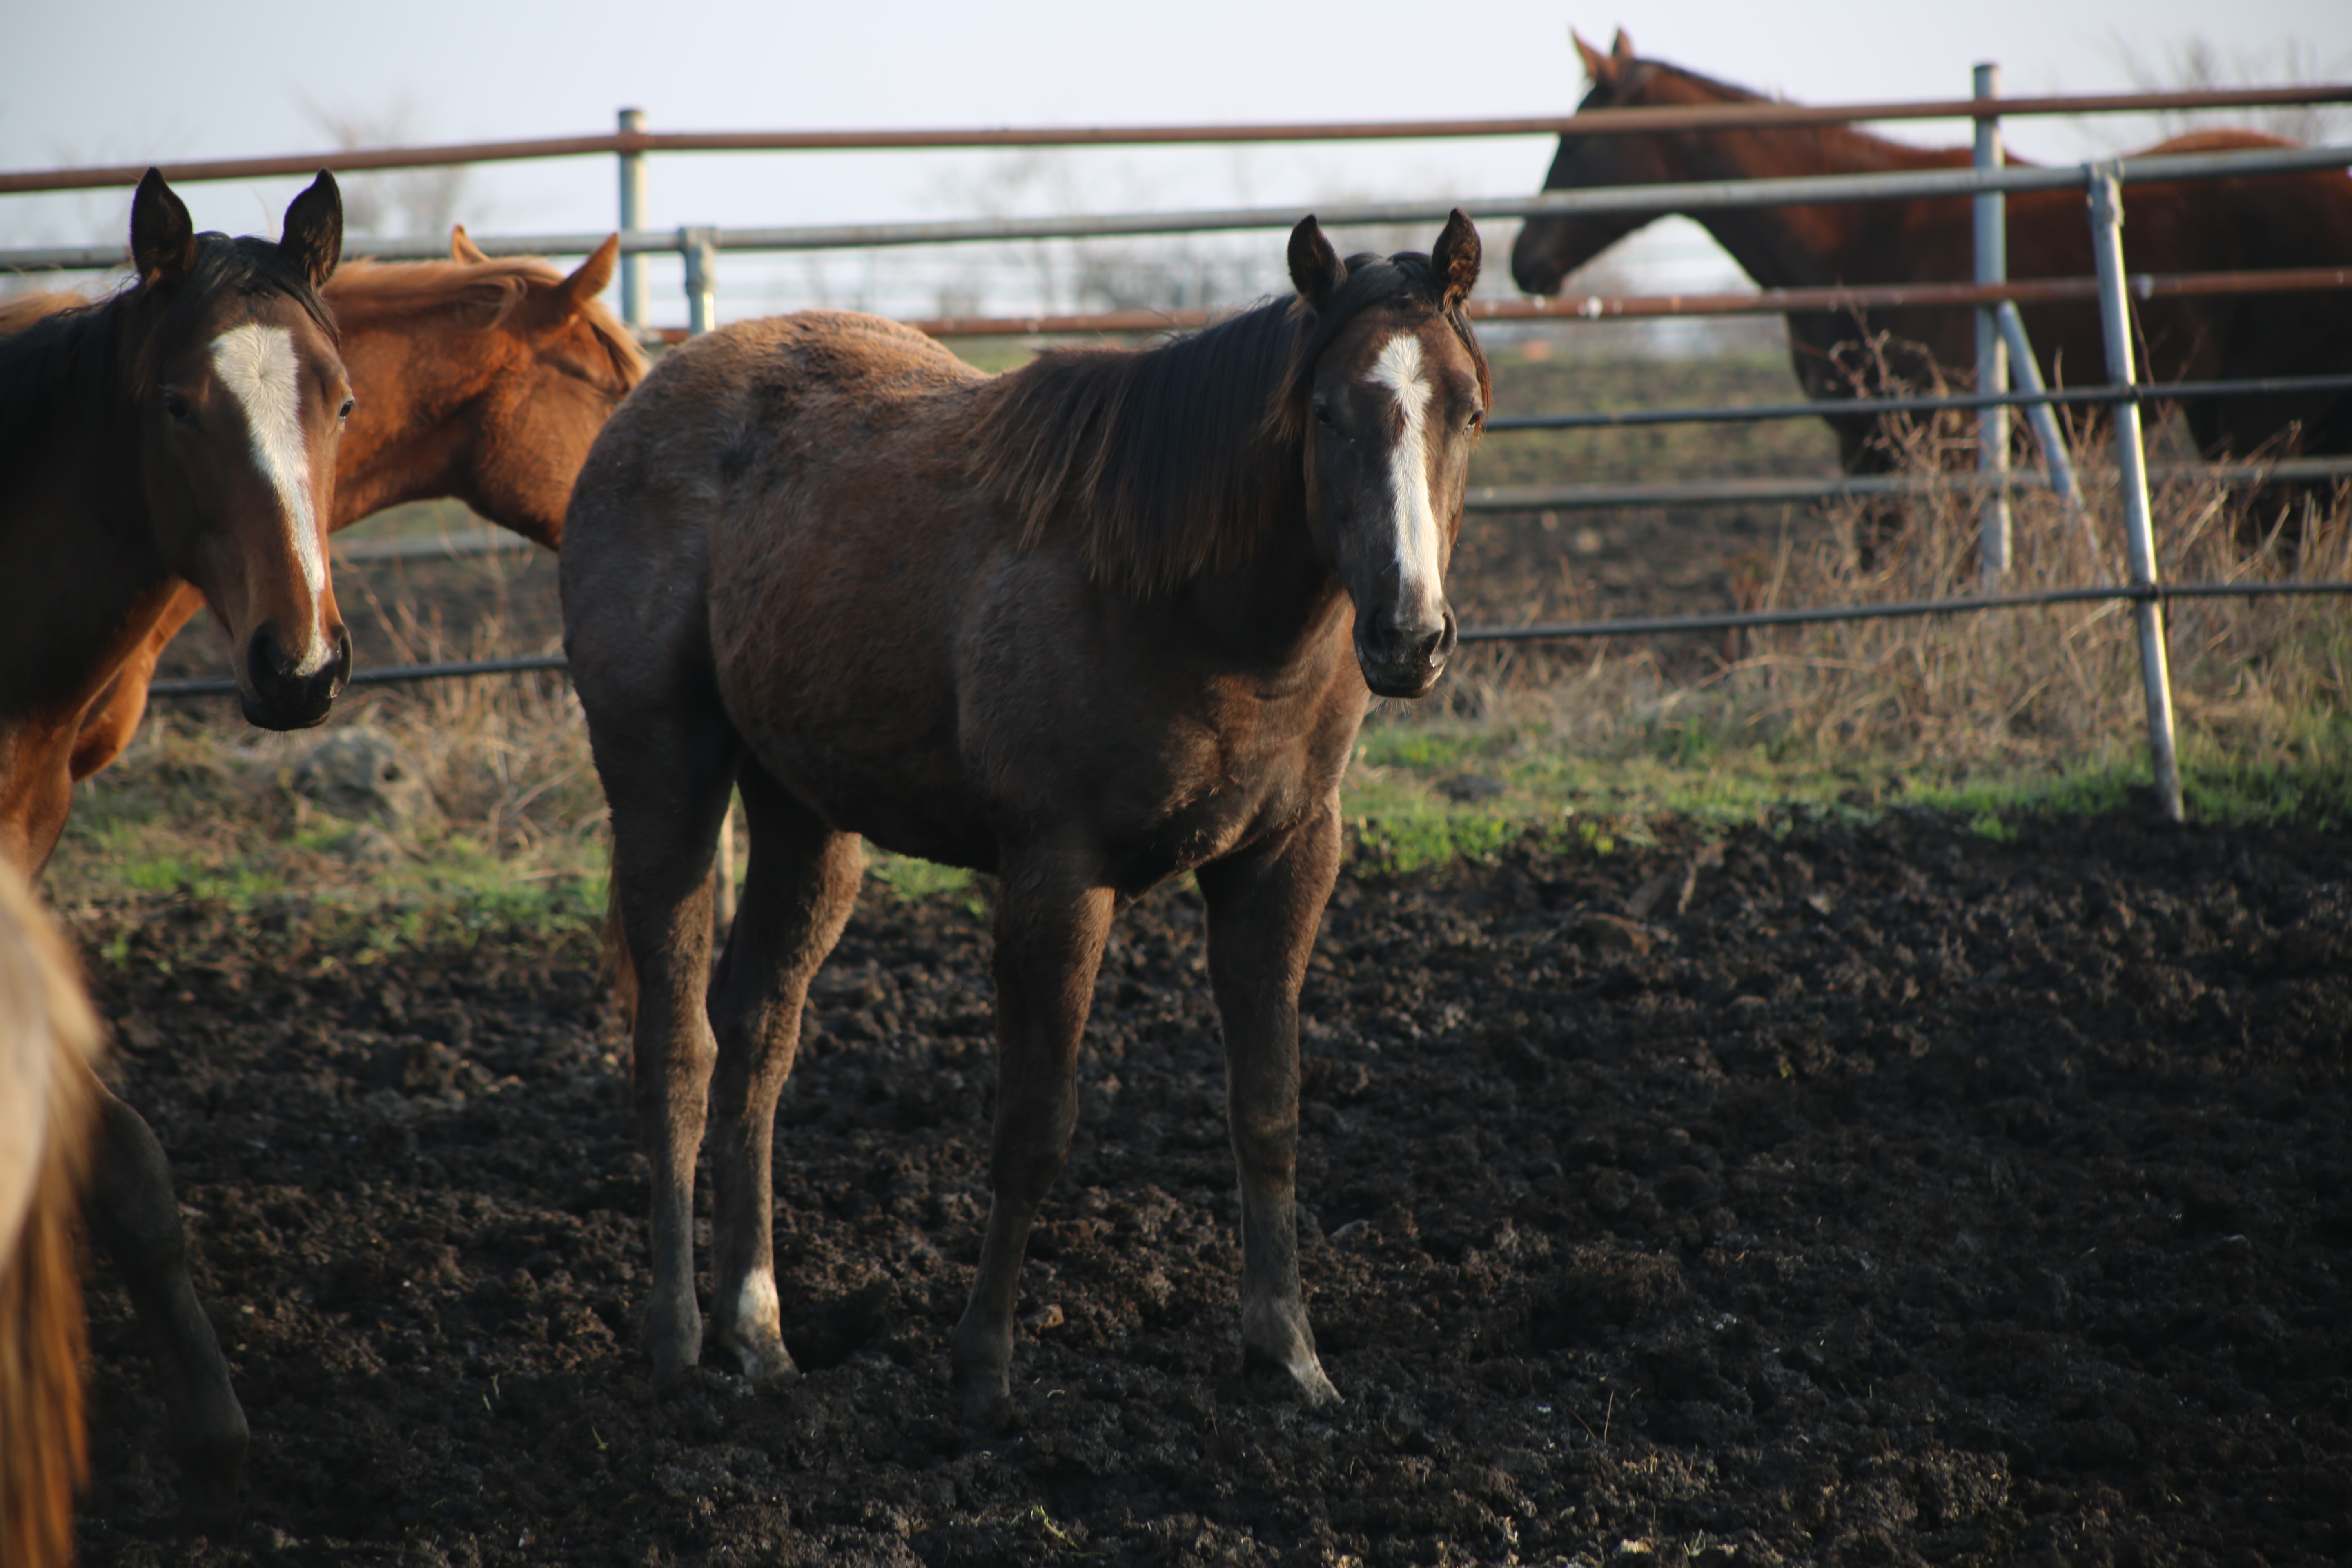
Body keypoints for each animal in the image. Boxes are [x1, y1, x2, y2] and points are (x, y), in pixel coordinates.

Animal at [564, 212, 1486, 1439]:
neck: (1190, 604)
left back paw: (757, 1335)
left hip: (807, 818)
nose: (1408, 636)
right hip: (662, 778)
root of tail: (648, 402)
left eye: (1465, 409)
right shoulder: (1057, 874)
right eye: (1326, 412)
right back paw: (674, 1340)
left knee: (757, 1036)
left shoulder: (1282, 863)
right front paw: (985, 1370)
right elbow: (1035, 1127)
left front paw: (1289, 1356)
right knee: (677, 1046)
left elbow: (1268, 1108)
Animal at [1505, 31, 2352, 470]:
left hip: (2262, 426)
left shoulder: (1929, 445)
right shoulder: (1865, 449)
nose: (1524, 262)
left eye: (1575, 145)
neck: (1855, 232)